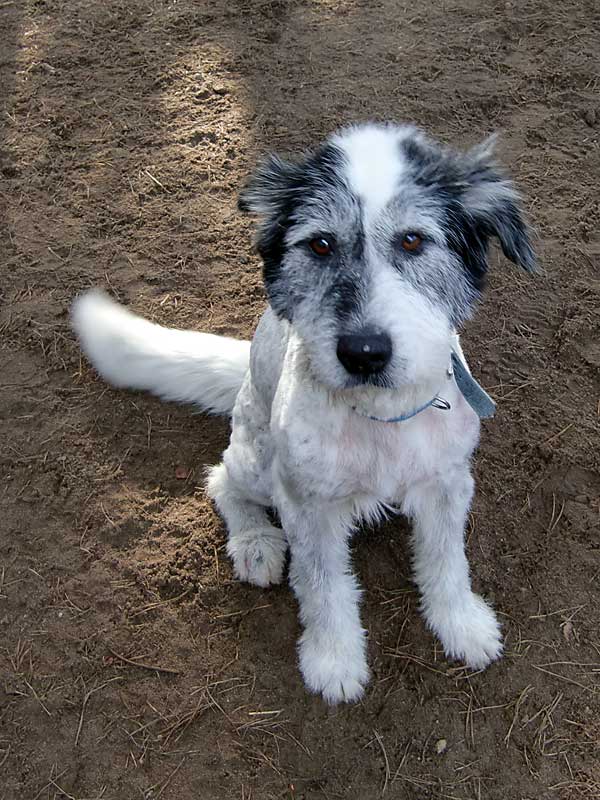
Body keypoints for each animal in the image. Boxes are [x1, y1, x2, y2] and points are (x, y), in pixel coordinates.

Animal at [72, 122, 535, 704]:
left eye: (413, 240)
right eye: (320, 243)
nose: (363, 352)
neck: (377, 414)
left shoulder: (448, 483)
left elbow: (447, 560)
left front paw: (461, 624)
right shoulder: (305, 506)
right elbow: (322, 586)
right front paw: (333, 660)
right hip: (257, 459)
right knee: (221, 480)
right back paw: (254, 544)